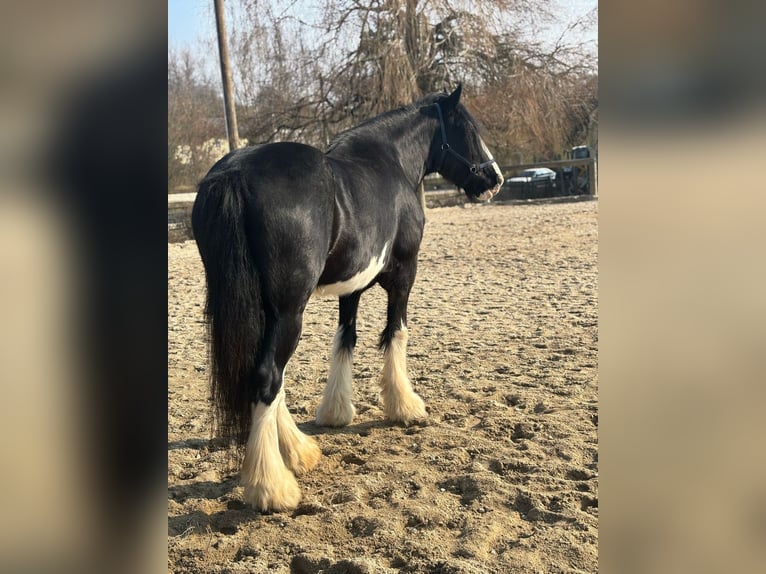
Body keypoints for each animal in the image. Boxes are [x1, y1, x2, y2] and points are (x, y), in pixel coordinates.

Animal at [191, 85, 504, 512]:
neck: (391, 161)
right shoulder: (405, 274)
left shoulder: (352, 285)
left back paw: (299, 452)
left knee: (270, 376)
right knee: (269, 376)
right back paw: (272, 487)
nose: (495, 179)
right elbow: (395, 332)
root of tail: (234, 174)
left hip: (263, 309)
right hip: (289, 310)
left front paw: (336, 412)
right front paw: (406, 407)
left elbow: (346, 339)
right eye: (469, 130)